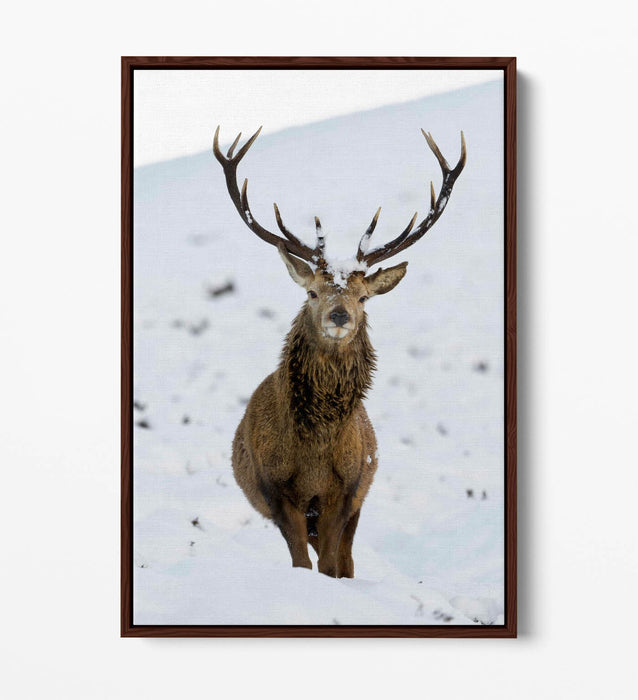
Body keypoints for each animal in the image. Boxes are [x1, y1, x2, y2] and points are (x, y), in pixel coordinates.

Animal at [213, 126, 466, 578]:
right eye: (312, 292)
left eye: (363, 297)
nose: (339, 315)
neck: (314, 451)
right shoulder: (276, 491)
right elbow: (301, 562)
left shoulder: (345, 491)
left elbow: (332, 563)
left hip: (360, 496)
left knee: (347, 558)